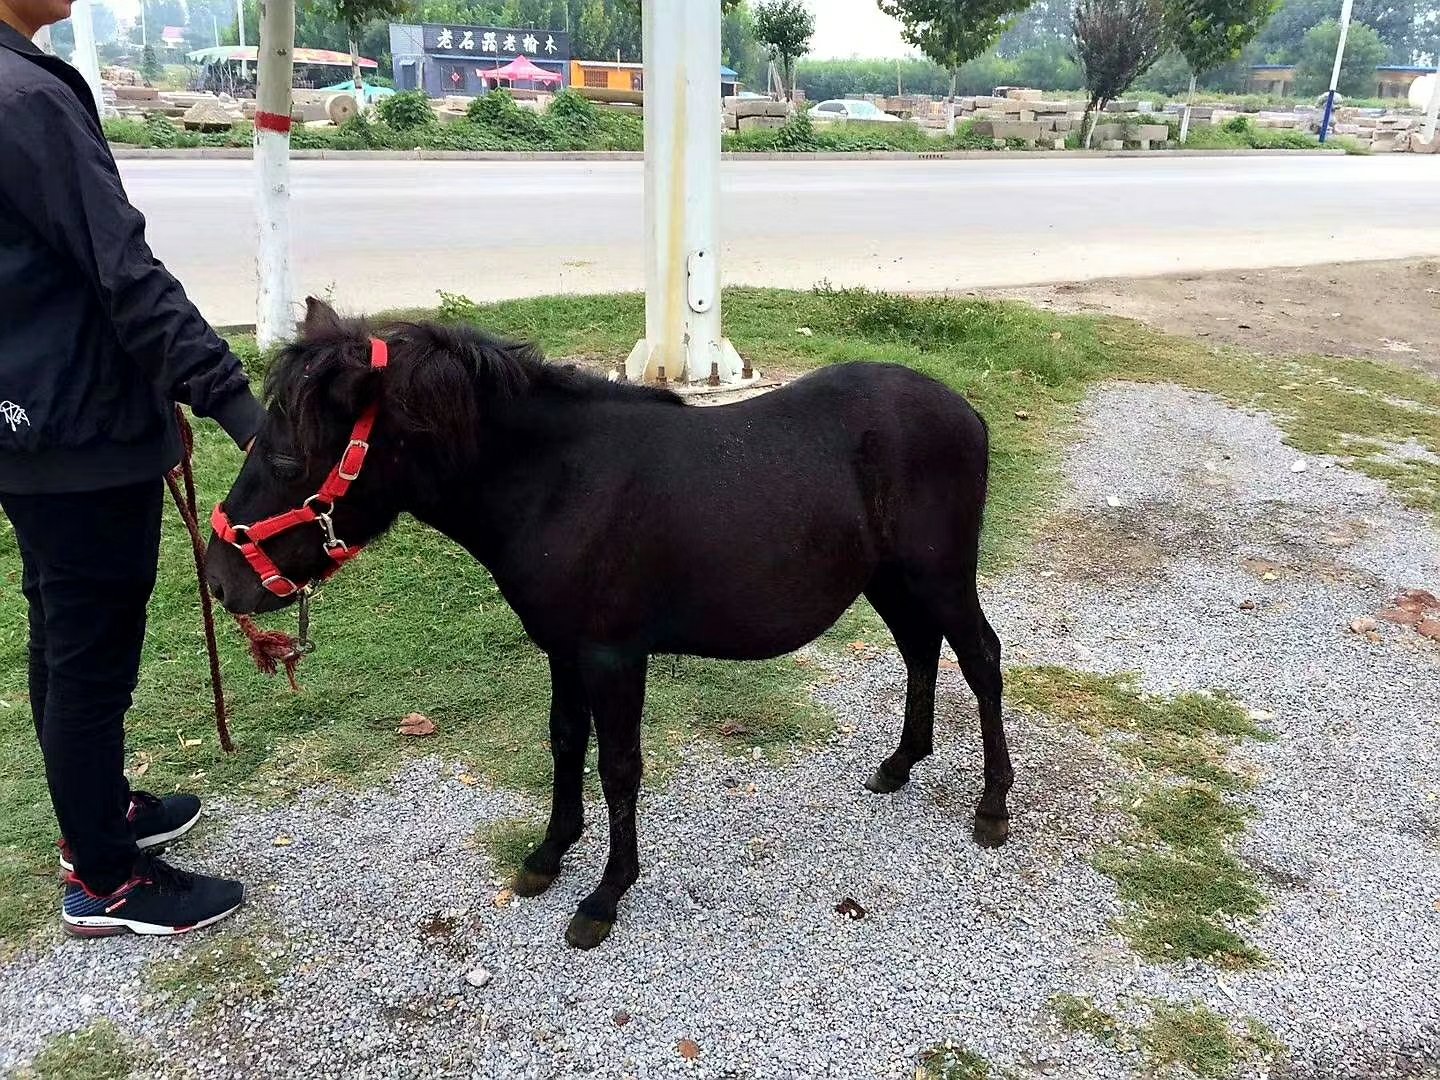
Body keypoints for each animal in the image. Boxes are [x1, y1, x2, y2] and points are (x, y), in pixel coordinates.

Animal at [206, 298, 1013, 950]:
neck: (560, 484)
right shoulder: (564, 650)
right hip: (891, 580)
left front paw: (605, 895)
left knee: (979, 659)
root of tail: (965, 411)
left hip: (939, 576)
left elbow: (619, 766)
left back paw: (993, 805)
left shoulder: (613, 655)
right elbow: (566, 743)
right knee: (920, 653)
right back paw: (901, 764)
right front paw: (548, 854)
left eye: (286, 459)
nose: (219, 579)